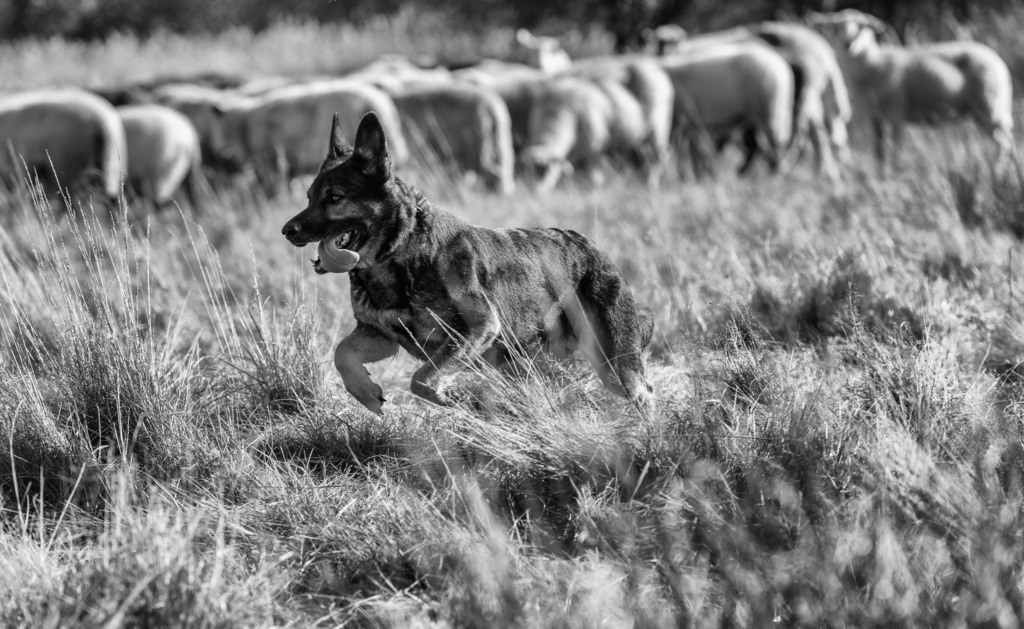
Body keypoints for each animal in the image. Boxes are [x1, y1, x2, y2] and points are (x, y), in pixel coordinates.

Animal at [657, 41, 794, 178]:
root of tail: (782, 66)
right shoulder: (689, 126)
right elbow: (690, 154)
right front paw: (693, 175)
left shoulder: (682, 123)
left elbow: (687, 153)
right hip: (759, 115)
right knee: (760, 145)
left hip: (768, 111)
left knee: (775, 143)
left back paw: (774, 171)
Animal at [809, 9, 1015, 172]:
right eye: (836, 28)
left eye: (862, 26)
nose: (848, 43)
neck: (875, 64)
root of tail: (998, 60)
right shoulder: (874, 117)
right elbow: (878, 150)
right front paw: (880, 175)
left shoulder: (897, 112)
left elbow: (896, 149)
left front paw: (896, 173)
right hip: (984, 110)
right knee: (1005, 141)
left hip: (989, 106)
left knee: (1005, 143)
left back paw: (999, 171)